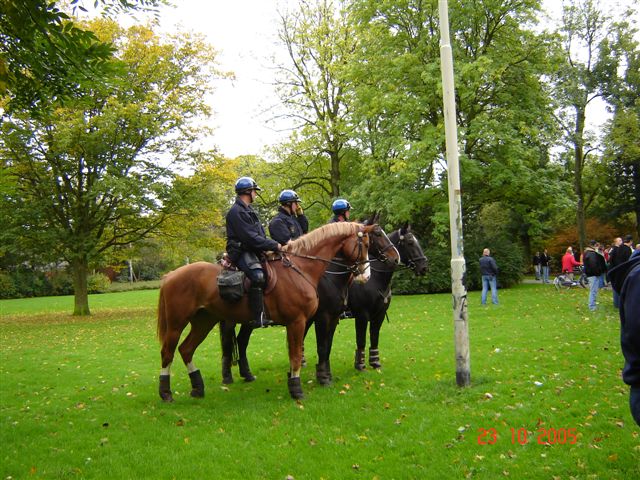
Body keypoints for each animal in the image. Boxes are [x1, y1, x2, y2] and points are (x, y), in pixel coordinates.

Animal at [156, 222, 376, 402]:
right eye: (365, 245)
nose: (365, 275)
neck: (301, 269)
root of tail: (171, 275)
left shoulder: (309, 321)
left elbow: (304, 352)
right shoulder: (298, 322)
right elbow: (297, 355)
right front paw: (297, 390)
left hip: (204, 322)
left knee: (186, 349)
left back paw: (198, 388)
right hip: (177, 324)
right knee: (168, 352)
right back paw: (166, 393)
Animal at [220, 221, 400, 386]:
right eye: (376, 235)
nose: (396, 258)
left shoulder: (344, 316)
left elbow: (331, 345)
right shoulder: (334, 317)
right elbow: (327, 345)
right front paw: (327, 375)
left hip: (248, 321)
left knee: (241, 341)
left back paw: (247, 374)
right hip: (230, 320)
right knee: (228, 344)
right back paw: (228, 377)